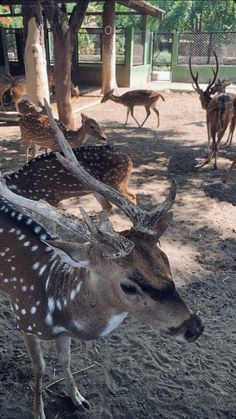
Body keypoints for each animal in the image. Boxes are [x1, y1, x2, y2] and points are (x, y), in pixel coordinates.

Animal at [3, 144, 136, 213]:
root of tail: (129, 158)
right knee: (111, 205)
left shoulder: (50, 197)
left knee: (129, 201)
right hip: (100, 188)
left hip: (115, 182)